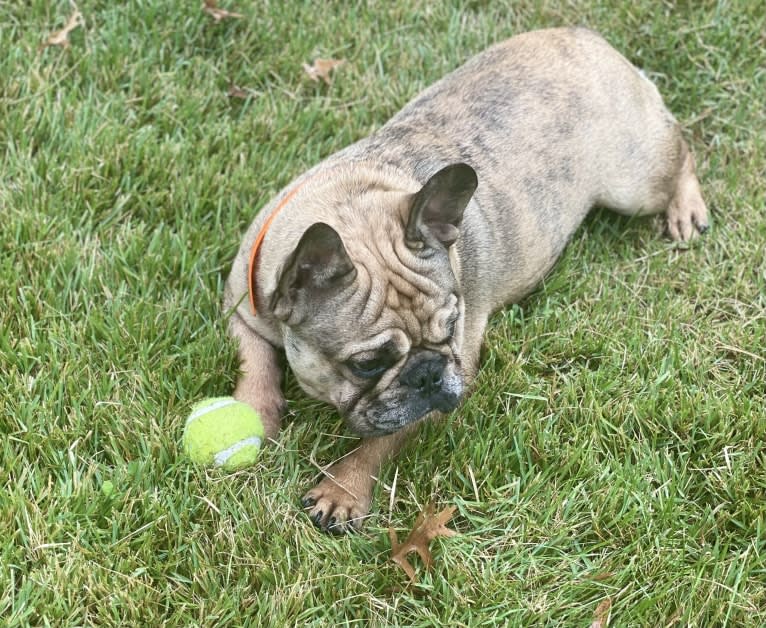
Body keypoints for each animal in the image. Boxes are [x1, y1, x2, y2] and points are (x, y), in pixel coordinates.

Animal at [225, 27, 712, 532]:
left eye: (453, 326)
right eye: (367, 364)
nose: (428, 374)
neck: (354, 205)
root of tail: (586, 36)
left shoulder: (452, 375)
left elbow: (380, 443)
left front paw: (344, 489)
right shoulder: (241, 307)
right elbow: (254, 365)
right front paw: (255, 414)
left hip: (634, 184)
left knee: (682, 156)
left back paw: (686, 209)